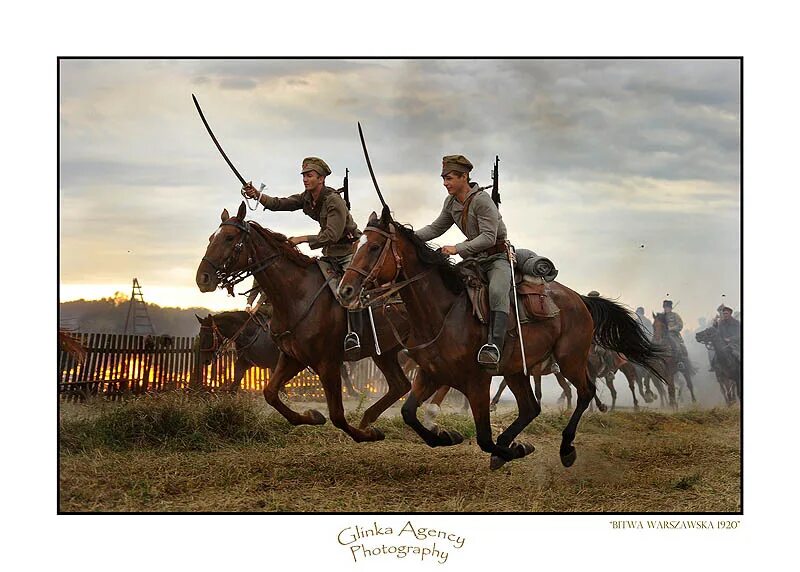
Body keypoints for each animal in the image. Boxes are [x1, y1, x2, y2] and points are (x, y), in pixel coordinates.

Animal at [197, 202, 416, 442]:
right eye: (211, 238)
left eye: (229, 237)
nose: (202, 278)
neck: (298, 294)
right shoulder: (292, 358)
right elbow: (270, 393)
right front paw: (313, 416)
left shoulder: (328, 364)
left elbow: (337, 416)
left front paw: (363, 435)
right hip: (384, 352)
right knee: (400, 385)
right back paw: (368, 419)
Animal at [336, 210, 664, 470]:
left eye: (374, 247)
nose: (345, 290)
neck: (442, 313)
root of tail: (579, 299)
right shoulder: (430, 374)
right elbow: (408, 414)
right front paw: (447, 436)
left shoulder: (477, 382)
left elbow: (482, 437)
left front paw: (516, 448)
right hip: (517, 371)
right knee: (531, 407)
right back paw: (509, 445)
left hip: (570, 360)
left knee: (585, 392)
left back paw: (565, 448)